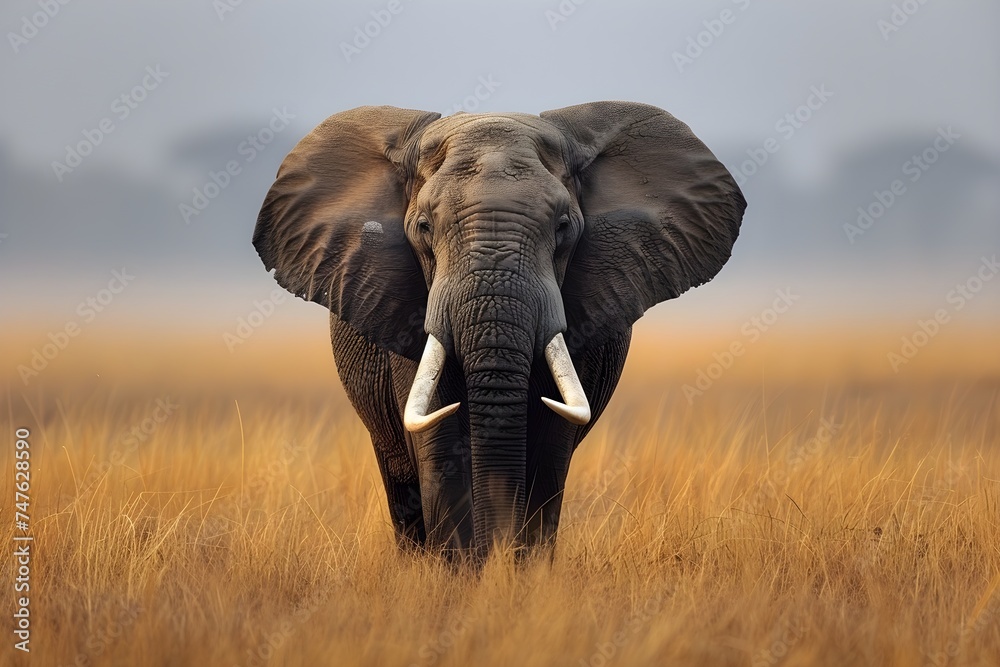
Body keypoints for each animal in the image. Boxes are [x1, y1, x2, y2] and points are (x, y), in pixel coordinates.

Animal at [252, 101, 745, 560]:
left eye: (563, 228)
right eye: (424, 227)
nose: (497, 555)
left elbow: (549, 449)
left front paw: (518, 574)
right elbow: (439, 440)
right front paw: (462, 578)